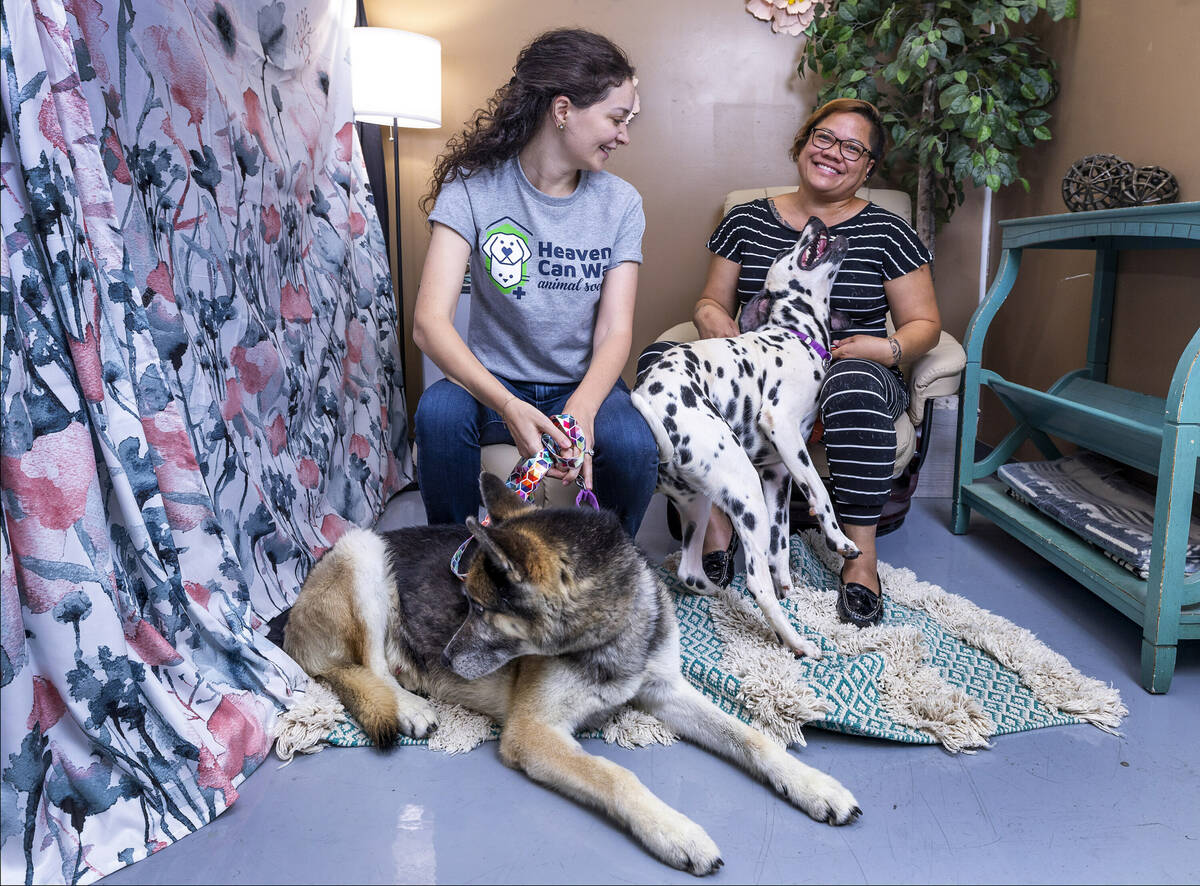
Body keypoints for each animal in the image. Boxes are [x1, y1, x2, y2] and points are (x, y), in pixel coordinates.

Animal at [283, 473, 864, 873]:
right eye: (464, 602)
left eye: (478, 607)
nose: (446, 658)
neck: (608, 634)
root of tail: (288, 626)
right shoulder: (533, 733)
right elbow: (615, 775)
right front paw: (675, 830)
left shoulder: (666, 691)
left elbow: (752, 737)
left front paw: (811, 784)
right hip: (362, 552)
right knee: (367, 666)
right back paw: (408, 704)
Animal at [633, 213, 859, 657]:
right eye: (788, 247)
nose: (815, 218)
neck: (796, 336)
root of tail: (652, 403)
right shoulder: (785, 432)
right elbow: (821, 495)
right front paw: (839, 539)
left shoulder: (778, 476)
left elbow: (780, 544)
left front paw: (788, 583)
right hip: (745, 487)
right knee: (755, 582)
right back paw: (797, 642)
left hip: (701, 503)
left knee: (690, 571)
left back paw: (726, 597)